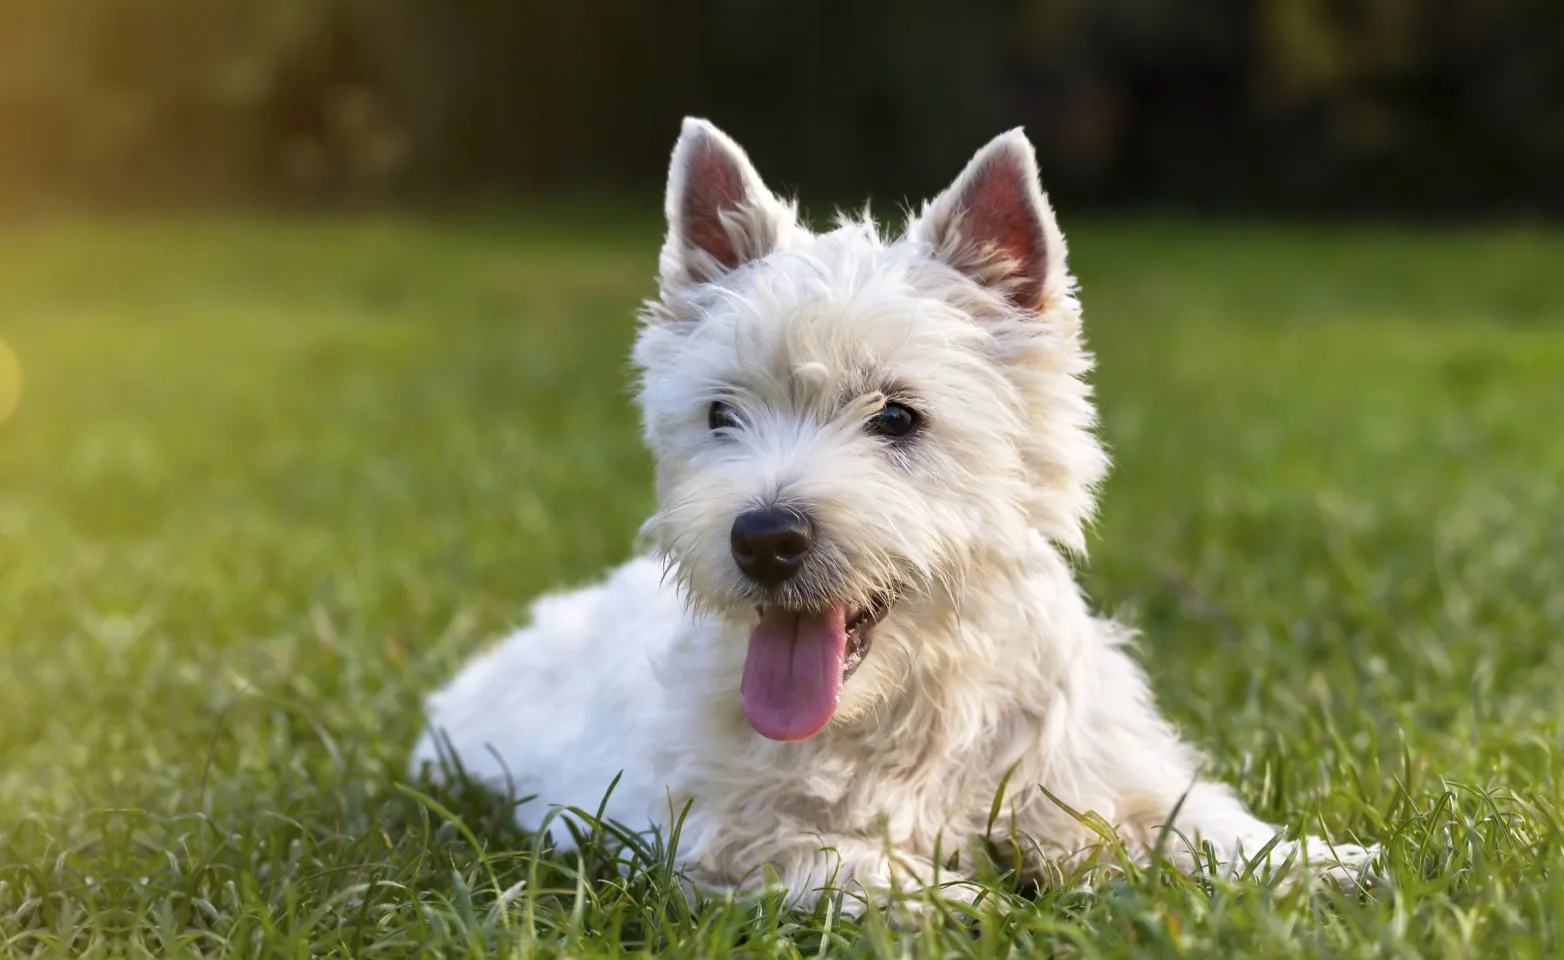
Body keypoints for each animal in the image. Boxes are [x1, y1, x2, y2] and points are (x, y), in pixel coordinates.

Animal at [409, 116, 1376, 906]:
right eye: (721, 414)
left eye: (899, 416)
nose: (764, 540)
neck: (906, 705)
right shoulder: (718, 836)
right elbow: (860, 864)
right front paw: (977, 906)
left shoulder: (1090, 775)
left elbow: (1192, 821)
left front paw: (1327, 865)